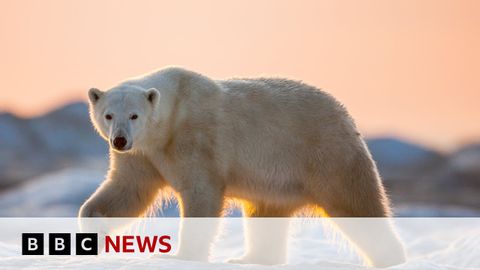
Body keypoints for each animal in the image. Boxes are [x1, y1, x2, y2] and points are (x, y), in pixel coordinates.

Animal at [79, 67, 404, 266]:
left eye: (134, 115)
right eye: (108, 115)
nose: (120, 140)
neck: (169, 120)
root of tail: (344, 113)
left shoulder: (194, 139)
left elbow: (201, 192)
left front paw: (181, 256)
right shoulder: (143, 155)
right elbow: (128, 190)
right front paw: (93, 228)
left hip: (325, 156)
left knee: (355, 204)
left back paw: (391, 258)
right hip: (277, 181)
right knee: (265, 214)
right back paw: (252, 258)